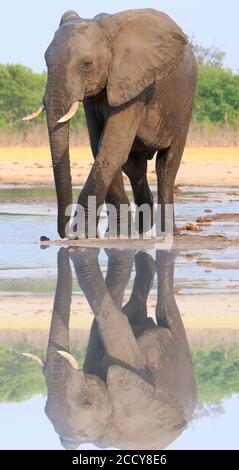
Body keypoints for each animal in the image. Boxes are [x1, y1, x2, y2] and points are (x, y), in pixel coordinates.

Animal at [23, 8, 197, 239]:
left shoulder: (134, 84)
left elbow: (111, 149)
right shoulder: (94, 96)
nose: (64, 233)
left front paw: (82, 234)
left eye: (87, 64)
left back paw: (169, 234)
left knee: (166, 167)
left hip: (184, 109)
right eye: (45, 61)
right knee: (135, 169)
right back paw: (141, 231)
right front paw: (115, 234)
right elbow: (101, 147)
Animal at [23, 246, 196, 448]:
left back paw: (145, 260)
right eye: (87, 402)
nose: (63, 250)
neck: (106, 429)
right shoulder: (126, 392)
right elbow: (115, 321)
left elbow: (97, 328)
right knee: (164, 310)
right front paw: (85, 253)